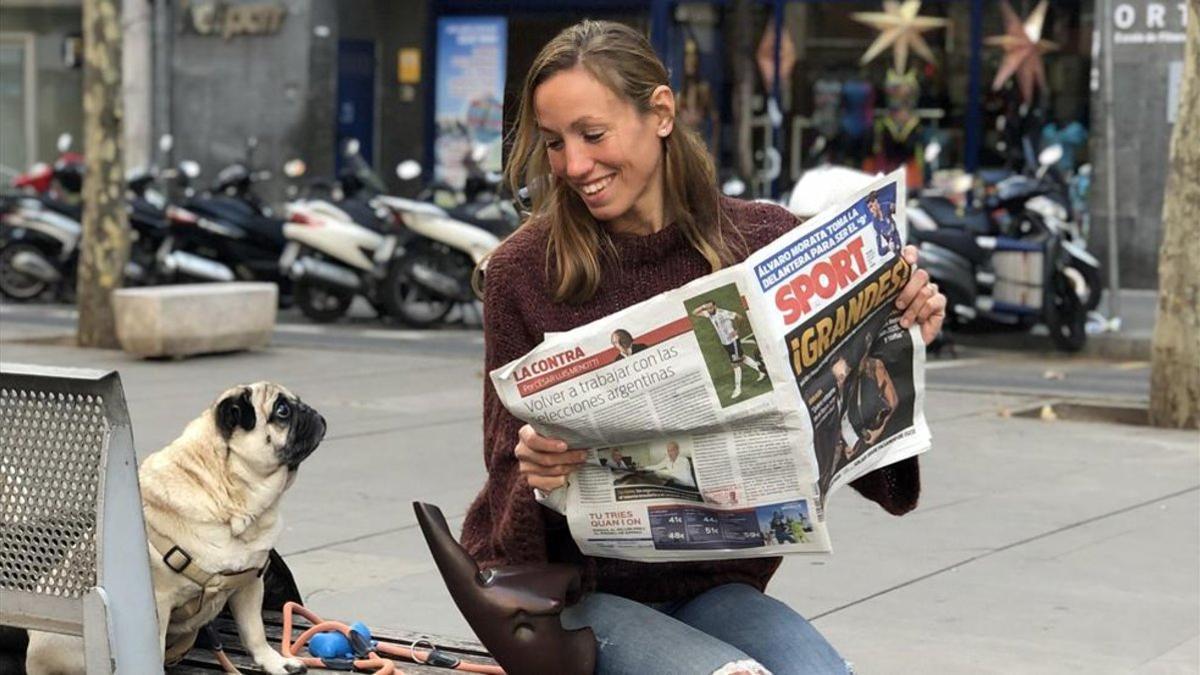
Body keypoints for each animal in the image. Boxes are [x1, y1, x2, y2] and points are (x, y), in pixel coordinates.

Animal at [27, 381, 326, 672]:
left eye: (295, 403)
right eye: (282, 411)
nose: (311, 412)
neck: (232, 503)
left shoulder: (249, 583)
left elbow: (255, 633)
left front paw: (274, 662)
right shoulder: (158, 604)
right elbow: (155, 649)